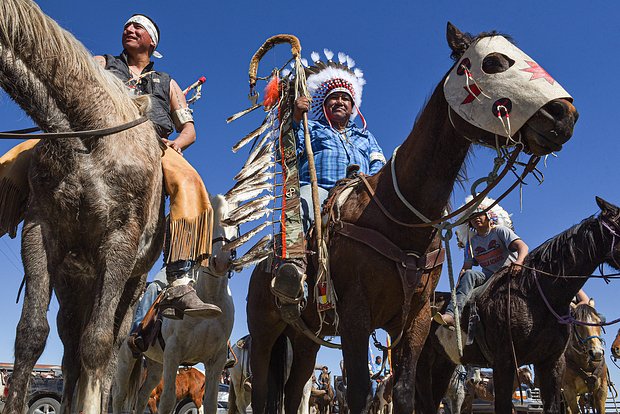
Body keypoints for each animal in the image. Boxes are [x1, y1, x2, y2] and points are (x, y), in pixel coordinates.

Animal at [111, 195, 237, 414]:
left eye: (234, 220)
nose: (220, 261)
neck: (208, 299)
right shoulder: (173, 352)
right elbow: (168, 401)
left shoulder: (216, 360)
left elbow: (211, 404)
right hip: (127, 357)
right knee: (119, 396)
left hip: (155, 366)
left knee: (142, 397)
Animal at [247, 21, 576, 414]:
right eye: (494, 62)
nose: (565, 114)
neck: (398, 214)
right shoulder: (355, 316)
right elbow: (360, 392)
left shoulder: (414, 320)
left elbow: (405, 391)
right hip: (264, 332)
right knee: (261, 389)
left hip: (306, 335)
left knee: (295, 388)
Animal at [414, 198, 620, 414]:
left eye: (599, 322)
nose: (596, 354)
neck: (534, 296)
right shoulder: (504, 363)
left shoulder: (551, 363)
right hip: (422, 364)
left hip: (443, 364)